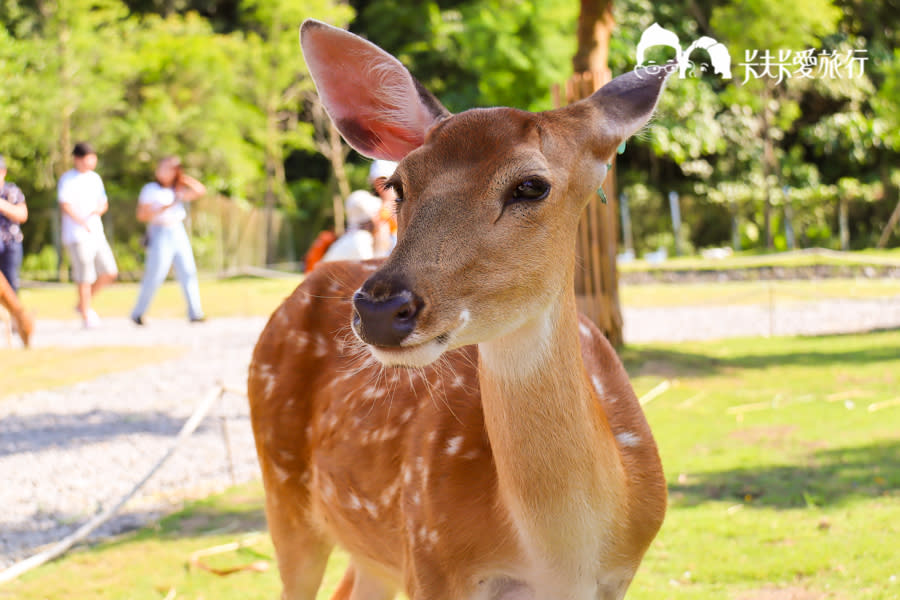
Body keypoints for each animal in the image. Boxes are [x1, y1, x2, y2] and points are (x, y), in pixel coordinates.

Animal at [250, 18, 672, 600]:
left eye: (531, 185)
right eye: (396, 185)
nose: (381, 309)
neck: (562, 560)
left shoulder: (620, 576)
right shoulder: (432, 559)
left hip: (372, 547)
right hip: (285, 493)